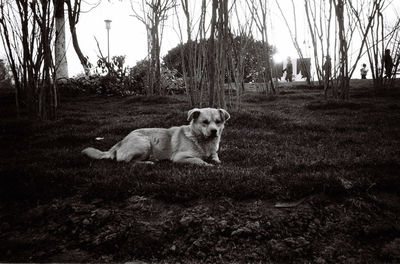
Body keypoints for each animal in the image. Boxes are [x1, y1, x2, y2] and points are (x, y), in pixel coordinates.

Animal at [82, 106, 231, 165]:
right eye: (205, 122)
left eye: (218, 122)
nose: (214, 131)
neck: (202, 140)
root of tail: (119, 142)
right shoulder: (179, 157)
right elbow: (198, 161)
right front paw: (208, 164)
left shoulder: (213, 152)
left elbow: (215, 157)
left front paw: (215, 161)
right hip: (144, 143)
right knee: (127, 162)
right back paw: (148, 162)